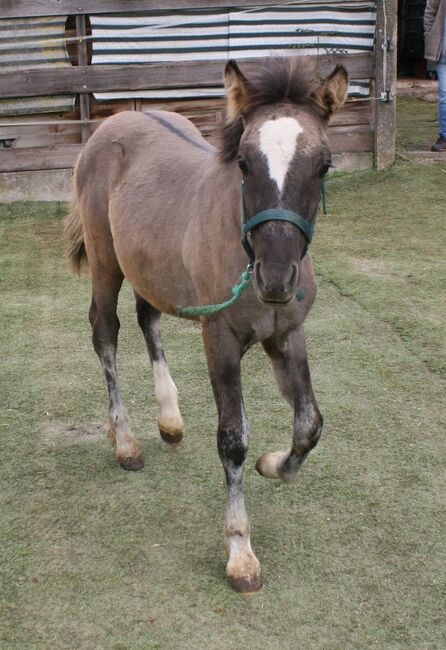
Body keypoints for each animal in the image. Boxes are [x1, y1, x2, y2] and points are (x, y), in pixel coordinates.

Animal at [65, 57, 348, 592]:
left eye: (324, 165)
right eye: (244, 164)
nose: (275, 278)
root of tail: (112, 122)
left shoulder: (287, 335)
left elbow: (310, 425)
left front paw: (272, 465)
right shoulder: (219, 339)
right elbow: (233, 439)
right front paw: (240, 553)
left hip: (148, 268)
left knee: (148, 320)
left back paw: (170, 422)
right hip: (106, 263)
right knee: (105, 332)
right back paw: (125, 441)